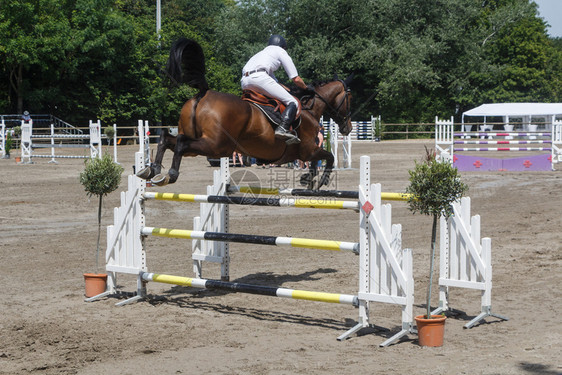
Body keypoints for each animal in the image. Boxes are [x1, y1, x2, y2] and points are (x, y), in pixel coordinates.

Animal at [136, 37, 352, 191]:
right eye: (350, 97)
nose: (348, 127)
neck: (309, 110)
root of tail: (203, 94)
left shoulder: (308, 151)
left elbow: (318, 162)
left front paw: (308, 178)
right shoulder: (307, 150)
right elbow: (329, 157)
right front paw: (321, 181)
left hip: (200, 143)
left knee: (168, 138)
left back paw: (152, 170)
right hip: (217, 146)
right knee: (180, 142)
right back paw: (170, 174)